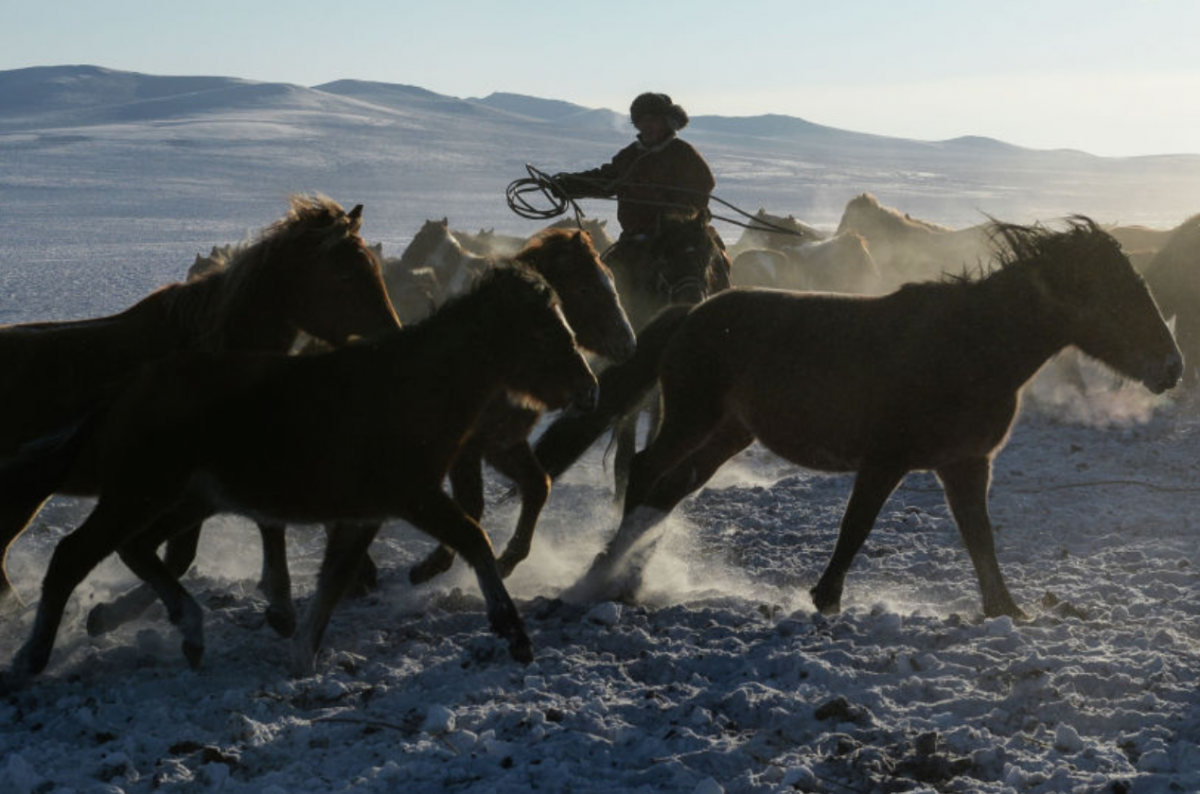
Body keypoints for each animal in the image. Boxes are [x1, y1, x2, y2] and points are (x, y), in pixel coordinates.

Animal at [0, 267, 600, 690]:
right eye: (543, 330)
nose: (588, 388)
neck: (411, 388)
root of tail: (126, 389)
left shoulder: (364, 515)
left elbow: (333, 584)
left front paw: (300, 658)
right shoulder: (412, 496)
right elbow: (473, 539)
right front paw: (513, 633)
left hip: (181, 499)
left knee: (140, 550)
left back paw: (185, 629)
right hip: (140, 493)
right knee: (73, 556)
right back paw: (31, 659)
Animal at [535, 215, 1180, 614]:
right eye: (1119, 297)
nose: (1172, 367)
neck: (970, 345)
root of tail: (690, 314)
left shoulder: (966, 465)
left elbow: (980, 538)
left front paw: (1007, 611)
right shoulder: (886, 459)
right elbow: (857, 526)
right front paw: (826, 598)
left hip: (729, 434)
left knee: (671, 487)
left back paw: (631, 574)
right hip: (693, 418)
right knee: (645, 470)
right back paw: (608, 576)